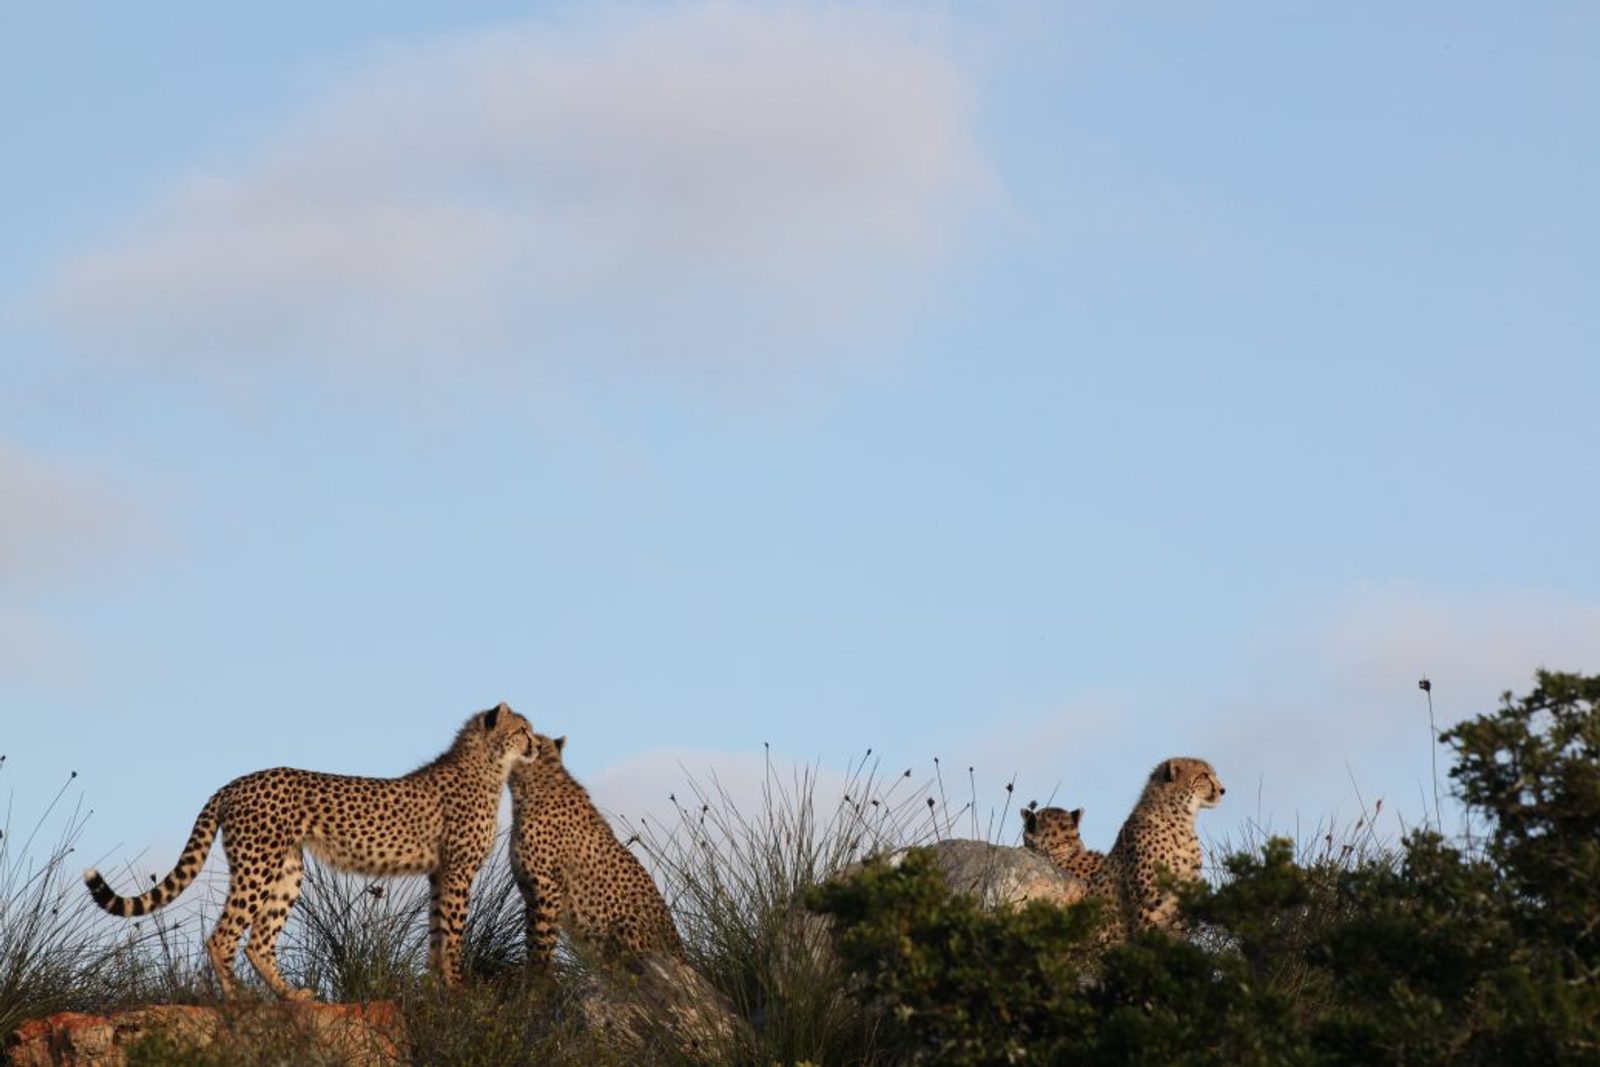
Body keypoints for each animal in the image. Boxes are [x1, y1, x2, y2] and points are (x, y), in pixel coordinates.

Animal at [84, 702, 538, 1000]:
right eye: (523, 730)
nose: (537, 745)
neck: (488, 764)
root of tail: (234, 783)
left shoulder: (440, 873)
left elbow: (438, 934)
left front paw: (437, 988)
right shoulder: (458, 871)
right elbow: (454, 934)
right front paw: (459, 988)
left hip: (287, 870)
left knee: (258, 941)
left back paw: (290, 996)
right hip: (257, 866)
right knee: (223, 936)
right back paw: (239, 1000)